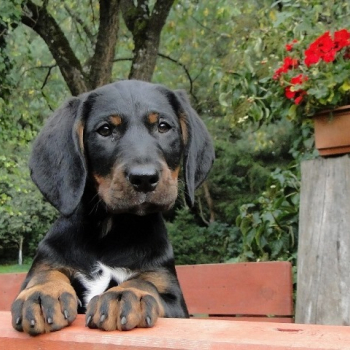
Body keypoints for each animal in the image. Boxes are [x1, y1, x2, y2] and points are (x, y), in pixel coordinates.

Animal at [10, 80, 215, 334]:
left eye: (163, 126)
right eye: (105, 130)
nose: (144, 178)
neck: (110, 228)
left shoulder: (172, 295)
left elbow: (144, 282)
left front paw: (125, 294)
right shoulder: (48, 260)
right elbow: (45, 274)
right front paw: (43, 294)